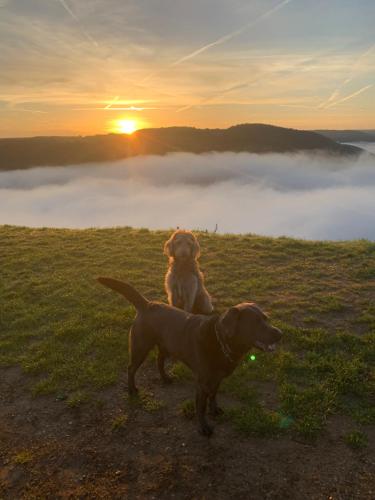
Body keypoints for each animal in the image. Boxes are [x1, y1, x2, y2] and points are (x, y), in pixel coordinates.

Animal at [97, 276, 282, 436]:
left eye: (266, 318)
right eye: (255, 323)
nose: (280, 333)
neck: (220, 342)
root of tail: (147, 304)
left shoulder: (217, 379)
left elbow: (213, 396)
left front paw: (215, 410)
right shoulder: (202, 383)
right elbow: (200, 407)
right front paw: (204, 428)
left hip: (166, 346)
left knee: (159, 361)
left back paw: (165, 378)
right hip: (140, 348)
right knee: (131, 369)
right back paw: (132, 390)